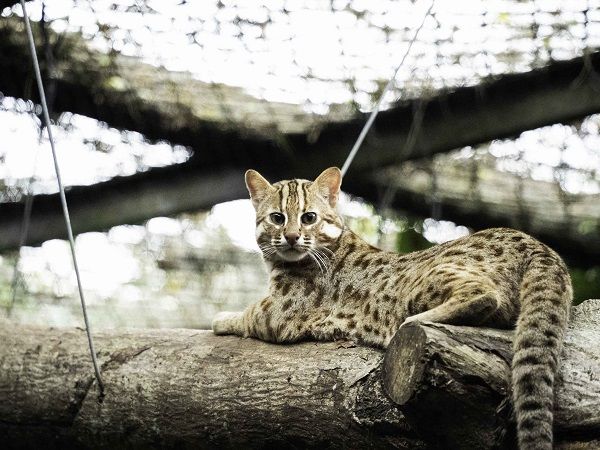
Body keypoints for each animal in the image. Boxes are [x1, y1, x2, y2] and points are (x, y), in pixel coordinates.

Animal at [211, 166, 572, 450]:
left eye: (308, 218)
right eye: (277, 218)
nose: (291, 237)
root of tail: (539, 246)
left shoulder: (277, 312)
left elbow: (247, 314)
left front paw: (222, 319)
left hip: (426, 281)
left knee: (483, 295)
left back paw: (411, 321)